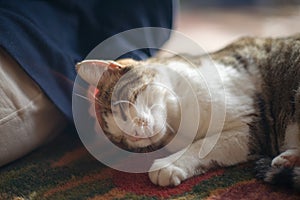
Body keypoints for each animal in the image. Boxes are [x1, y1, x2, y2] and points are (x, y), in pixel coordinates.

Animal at [75, 34, 300, 189]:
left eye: (122, 106)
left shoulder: (250, 125)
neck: (177, 119)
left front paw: (168, 165)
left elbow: (201, 146)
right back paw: (286, 161)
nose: (134, 135)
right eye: (121, 139)